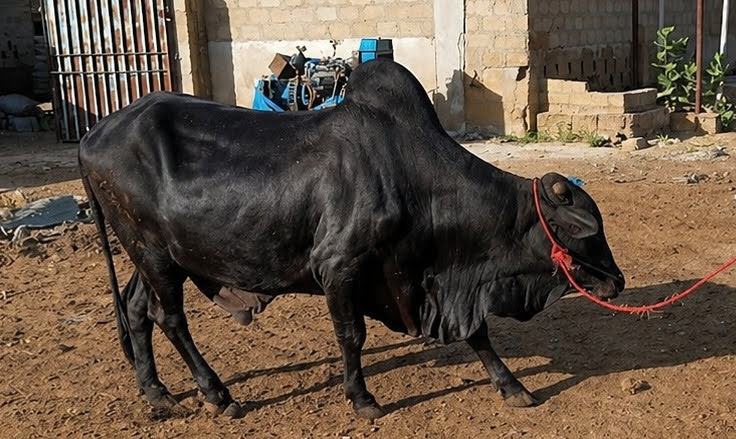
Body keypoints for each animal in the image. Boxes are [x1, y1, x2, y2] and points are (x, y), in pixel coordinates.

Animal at [79, 59, 625, 420]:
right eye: (588, 230)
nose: (617, 281)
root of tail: (93, 134)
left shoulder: (434, 281)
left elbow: (478, 333)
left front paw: (512, 387)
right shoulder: (339, 267)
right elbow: (352, 335)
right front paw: (362, 399)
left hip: (153, 256)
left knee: (136, 310)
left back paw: (156, 392)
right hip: (153, 253)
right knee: (170, 319)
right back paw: (218, 396)